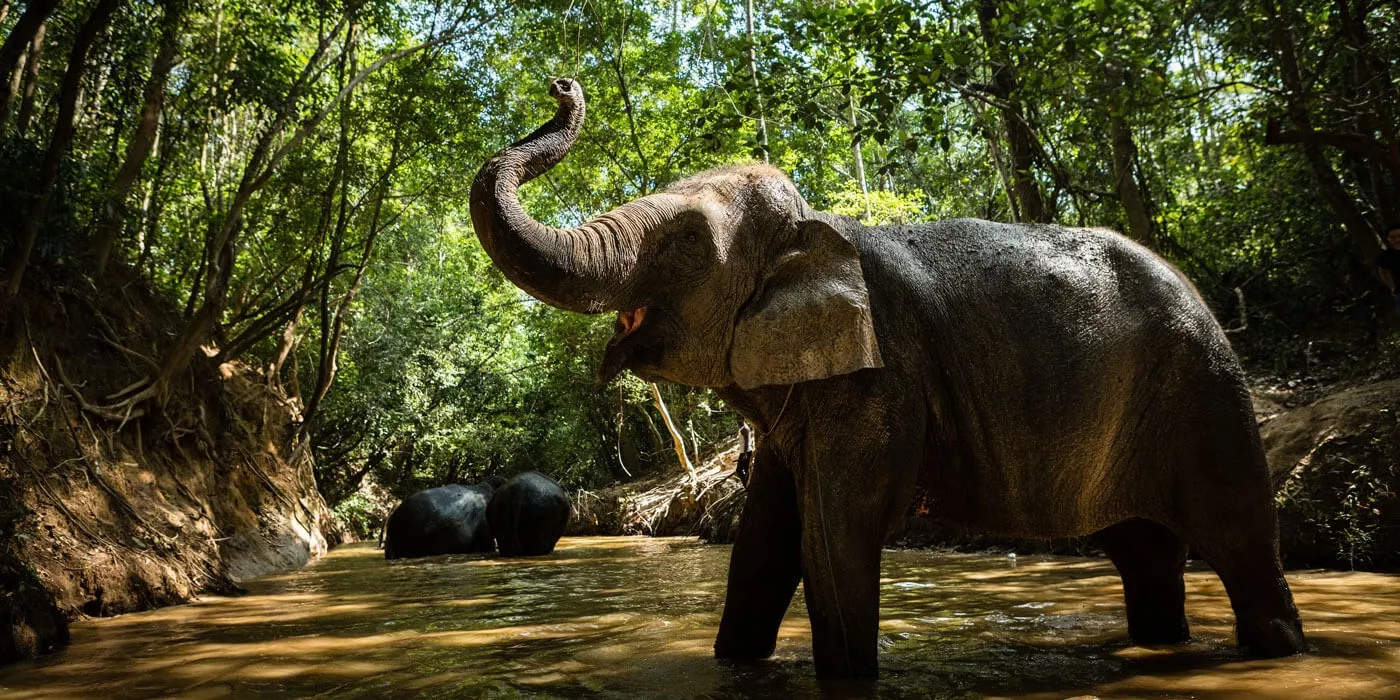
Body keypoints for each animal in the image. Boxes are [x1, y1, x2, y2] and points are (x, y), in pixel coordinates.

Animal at [468, 78, 1306, 678]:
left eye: (683, 242)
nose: (561, 84)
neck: (821, 229)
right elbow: (764, 543)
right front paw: (736, 660)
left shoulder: (882, 382)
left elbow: (834, 539)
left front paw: (845, 672)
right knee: (1144, 552)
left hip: (1205, 394)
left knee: (1241, 545)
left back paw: (1279, 649)